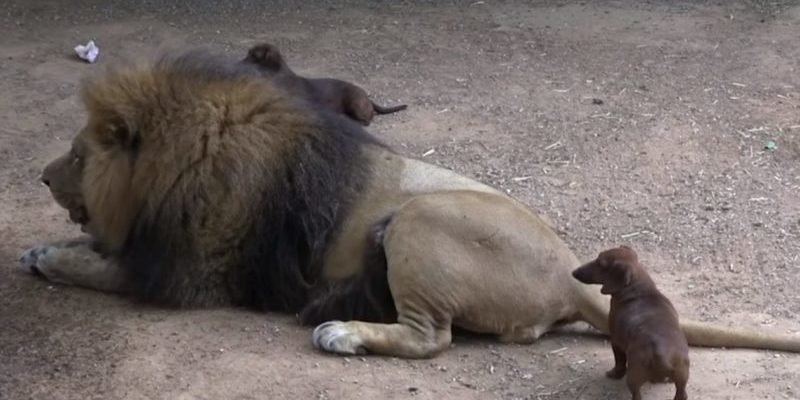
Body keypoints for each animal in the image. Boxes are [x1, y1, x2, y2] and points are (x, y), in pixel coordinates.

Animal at [572, 245, 692, 398]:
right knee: (682, 393)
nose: (574, 272)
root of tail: (660, 353)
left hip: (633, 377)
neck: (639, 291)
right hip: (682, 376)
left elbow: (619, 362)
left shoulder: (616, 342)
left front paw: (614, 374)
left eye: (600, 263)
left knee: (636, 394)